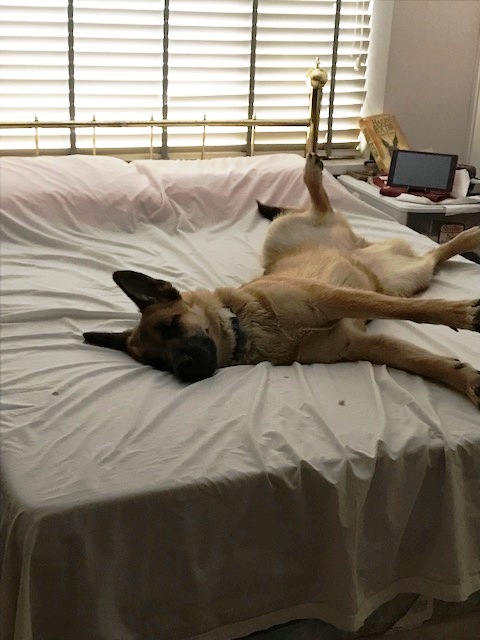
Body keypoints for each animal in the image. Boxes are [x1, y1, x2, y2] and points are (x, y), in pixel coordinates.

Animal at [84, 153, 480, 407]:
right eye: (156, 364)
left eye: (172, 325)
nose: (183, 370)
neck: (247, 327)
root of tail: (357, 247)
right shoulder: (360, 345)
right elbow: (421, 360)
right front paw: (467, 381)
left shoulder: (333, 298)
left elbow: (417, 311)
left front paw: (462, 315)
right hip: (407, 276)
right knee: (435, 255)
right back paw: (470, 236)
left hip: (289, 233)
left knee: (320, 206)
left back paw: (312, 169)